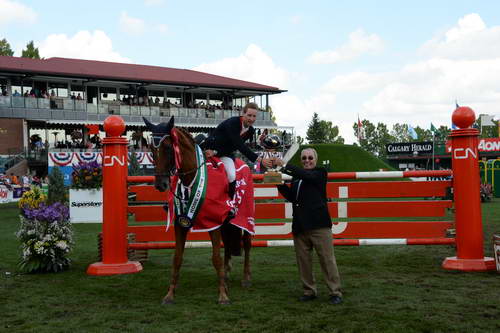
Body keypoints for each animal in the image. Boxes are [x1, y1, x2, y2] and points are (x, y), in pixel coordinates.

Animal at [145, 116, 254, 304]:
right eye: (151, 149)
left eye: (168, 148)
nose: (160, 185)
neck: (192, 178)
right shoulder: (180, 224)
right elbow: (177, 258)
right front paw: (169, 294)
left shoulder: (213, 223)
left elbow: (216, 258)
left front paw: (223, 296)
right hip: (226, 223)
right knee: (228, 246)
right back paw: (226, 276)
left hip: (245, 217)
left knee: (246, 243)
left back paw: (246, 278)